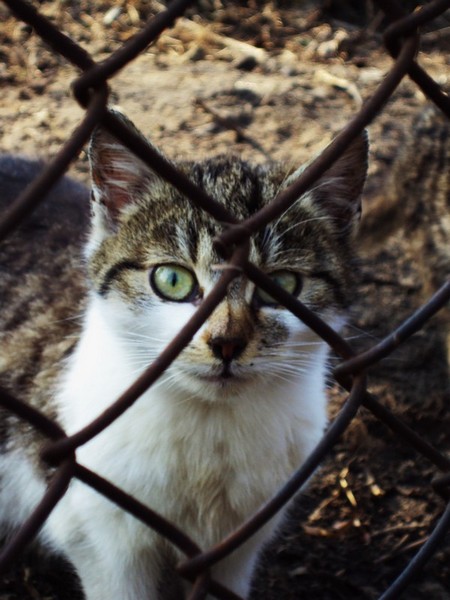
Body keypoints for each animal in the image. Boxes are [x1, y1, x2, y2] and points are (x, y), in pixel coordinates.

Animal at [0, 113, 370, 600]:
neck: (209, 429)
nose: (226, 342)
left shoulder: (239, 541)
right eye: (172, 280)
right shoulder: (102, 540)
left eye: (281, 286)